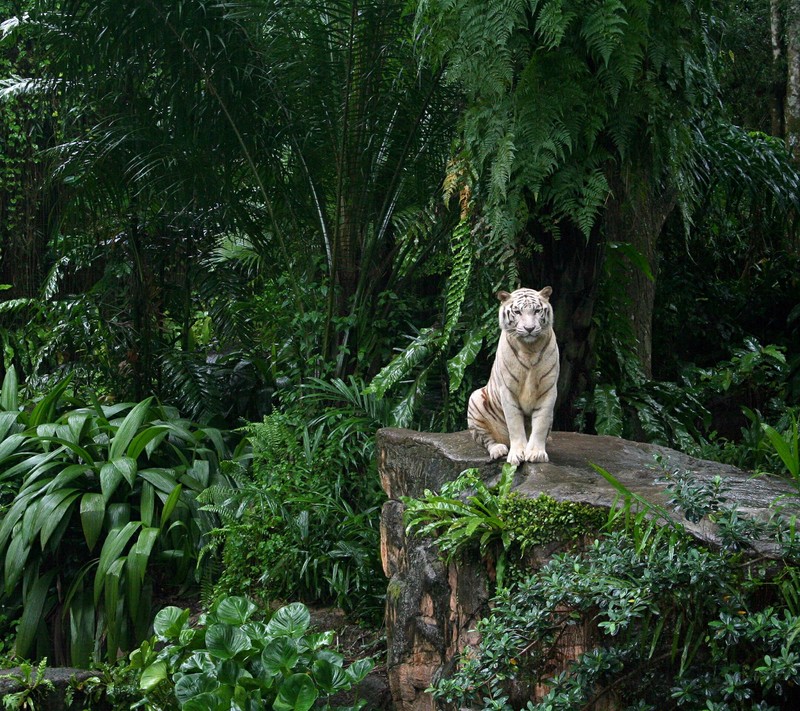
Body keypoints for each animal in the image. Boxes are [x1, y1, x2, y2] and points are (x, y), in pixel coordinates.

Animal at [466, 286, 560, 464]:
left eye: (537, 311)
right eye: (517, 312)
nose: (529, 329)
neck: (530, 349)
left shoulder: (548, 389)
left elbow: (541, 423)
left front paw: (536, 453)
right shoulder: (507, 390)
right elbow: (515, 424)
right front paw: (518, 453)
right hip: (475, 400)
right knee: (486, 439)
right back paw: (498, 449)